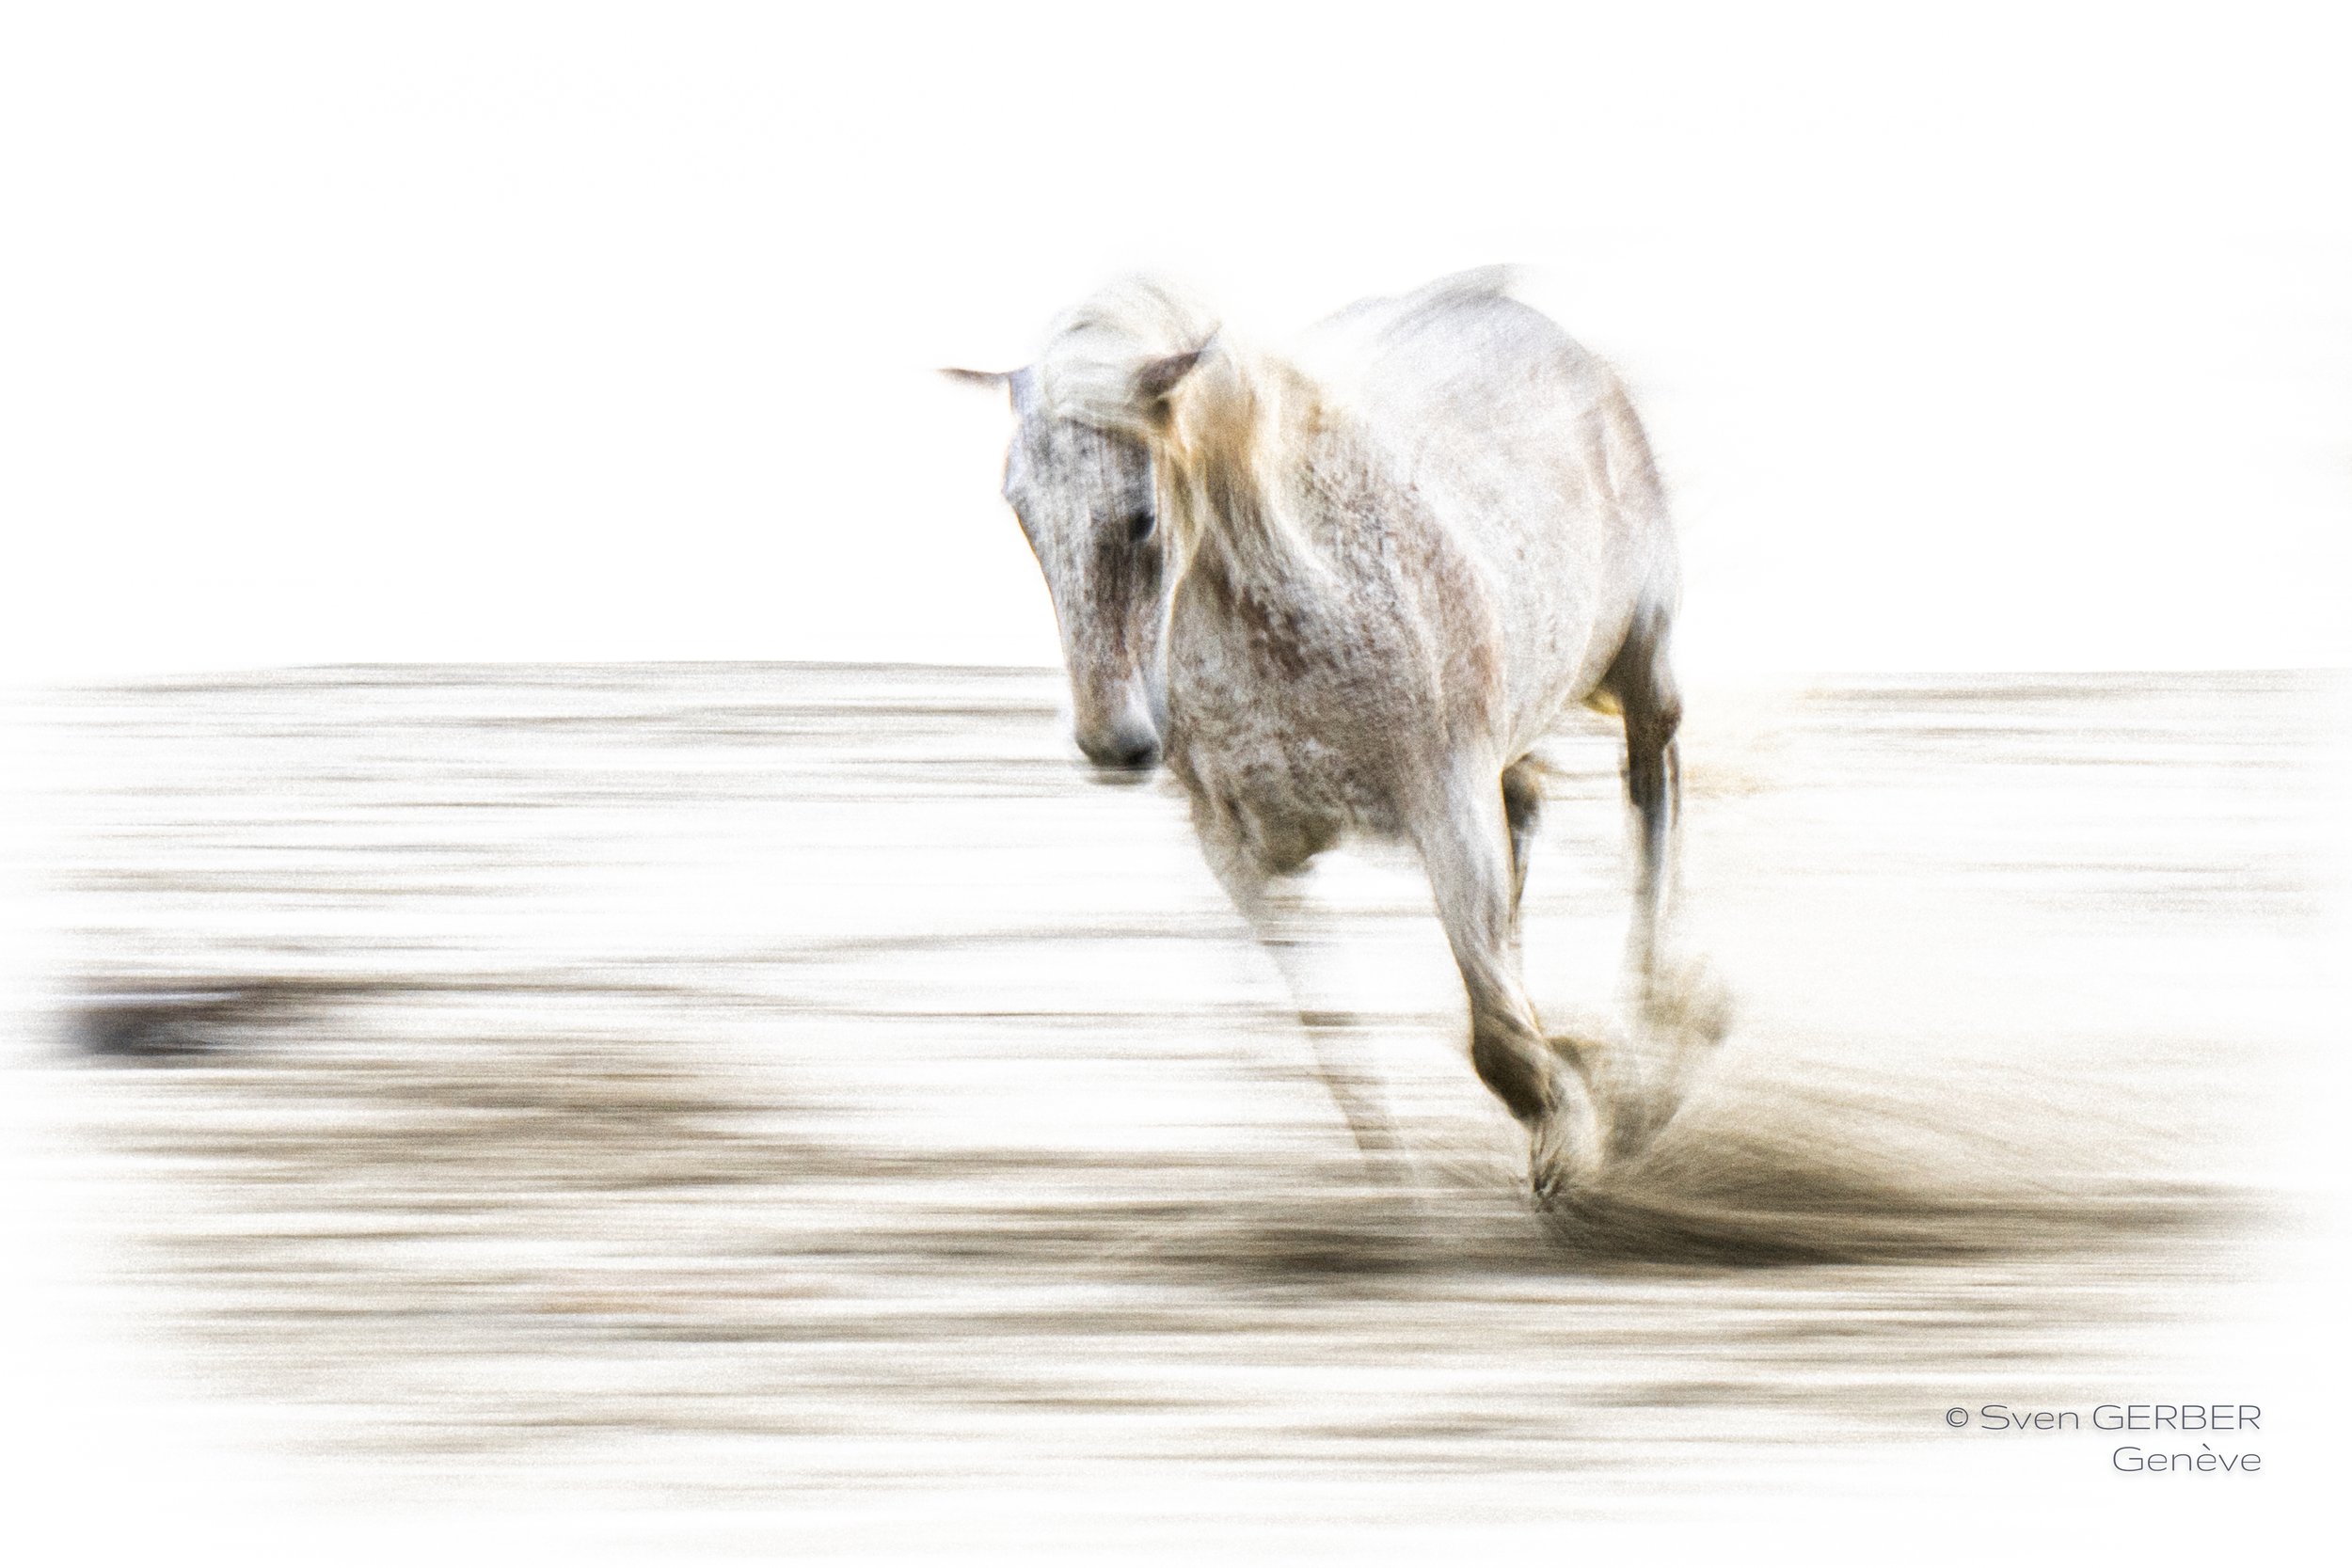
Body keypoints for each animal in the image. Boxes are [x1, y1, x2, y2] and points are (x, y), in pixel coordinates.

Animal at [947, 269, 1712, 1201]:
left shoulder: (1447, 808)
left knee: (1654, 805)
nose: (1111, 742)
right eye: (1023, 514)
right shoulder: (1243, 854)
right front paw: (1414, 1202)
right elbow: (1345, 1059)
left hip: (1642, 674)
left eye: (1139, 517)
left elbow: (1496, 1040)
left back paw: (1654, 1058)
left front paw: (1573, 1137)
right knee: (1531, 817)